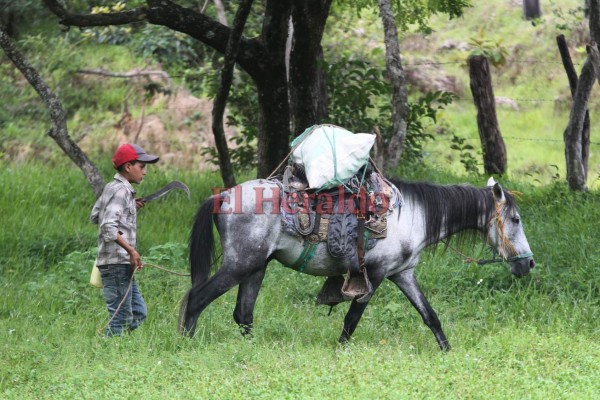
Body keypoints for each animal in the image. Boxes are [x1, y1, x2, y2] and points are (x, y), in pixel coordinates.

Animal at [178, 177, 536, 350]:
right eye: (516, 219)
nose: (529, 263)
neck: (414, 215)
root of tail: (224, 196)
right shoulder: (374, 275)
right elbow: (351, 320)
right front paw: (339, 352)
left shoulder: (403, 274)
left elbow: (430, 316)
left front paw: (448, 352)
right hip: (239, 265)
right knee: (197, 299)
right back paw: (184, 344)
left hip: (256, 266)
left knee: (243, 314)